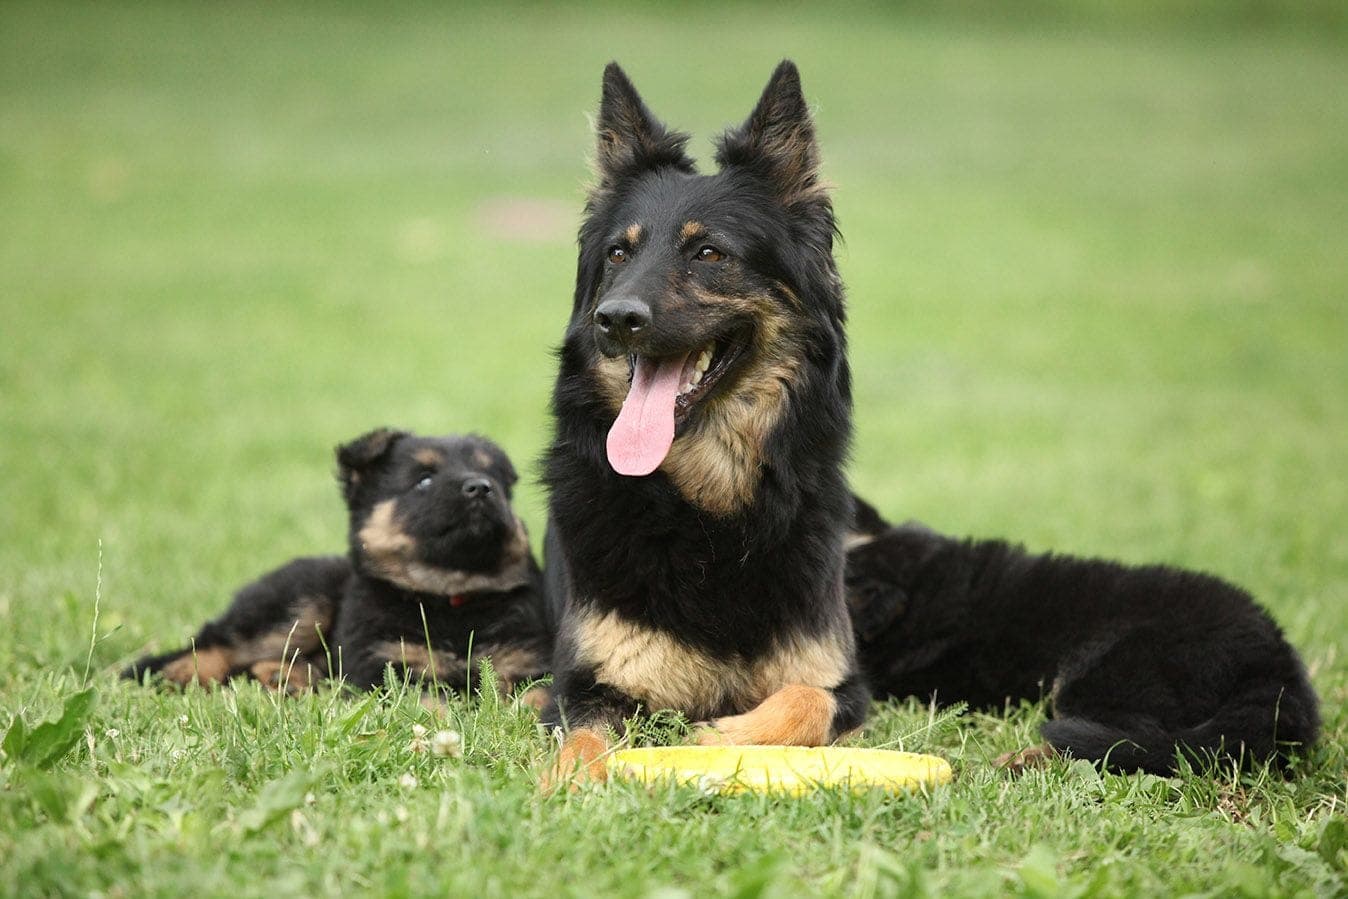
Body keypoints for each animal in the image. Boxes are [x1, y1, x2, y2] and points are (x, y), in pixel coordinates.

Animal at [124, 428, 549, 695]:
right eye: (424, 481)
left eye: (494, 478)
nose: (481, 487)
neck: (450, 597)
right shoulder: (382, 665)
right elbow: (428, 703)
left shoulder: (528, 663)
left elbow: (538, 698)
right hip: (301, 603)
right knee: (218, 643)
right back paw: (177, 674)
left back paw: (288, 679)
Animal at [536, 61, 862, 787]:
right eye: (618, 255)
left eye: (709, 253)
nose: (615, 318)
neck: (707, 519)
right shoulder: (588, 686)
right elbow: (583, 741)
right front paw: (564, 784)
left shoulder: (845, 684)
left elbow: (804, 698)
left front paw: (723, 734)